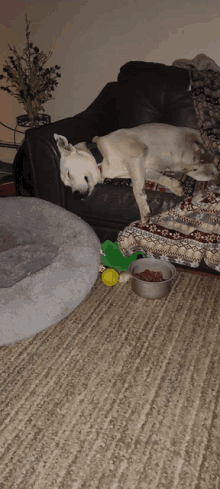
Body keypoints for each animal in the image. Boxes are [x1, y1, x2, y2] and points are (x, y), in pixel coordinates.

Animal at [53, 123, 218, 224]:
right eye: (67, 186)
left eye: (68, 174)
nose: (76, 196)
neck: (102, 158)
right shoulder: (143, 168)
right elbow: (161, 178)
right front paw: (176, 186)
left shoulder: (135, 160)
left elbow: (137, 190)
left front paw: (144, 211)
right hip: (200, 174)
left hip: (198, 141)